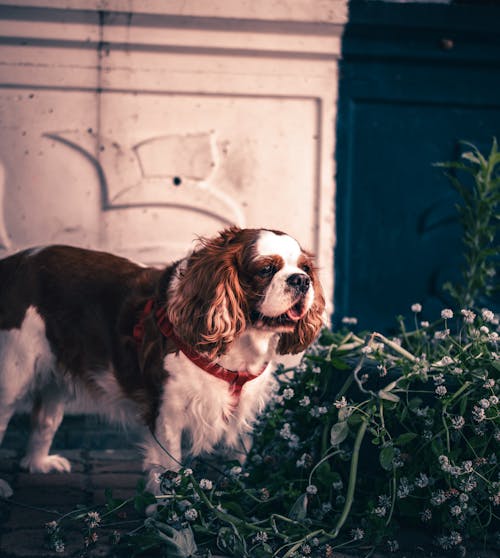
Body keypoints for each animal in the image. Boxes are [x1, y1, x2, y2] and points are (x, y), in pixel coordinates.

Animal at [0, 228, 324, 498]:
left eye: (305, 268)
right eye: (266, 269)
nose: (301, 280)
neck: (238, 344)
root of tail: (13, 263)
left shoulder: (240, 411)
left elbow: (236, 459)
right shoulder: (169, 412)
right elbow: (171, 469)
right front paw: (172, 511)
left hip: (54, 374)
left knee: (45, 419)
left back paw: (38, 463)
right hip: (13, 374)